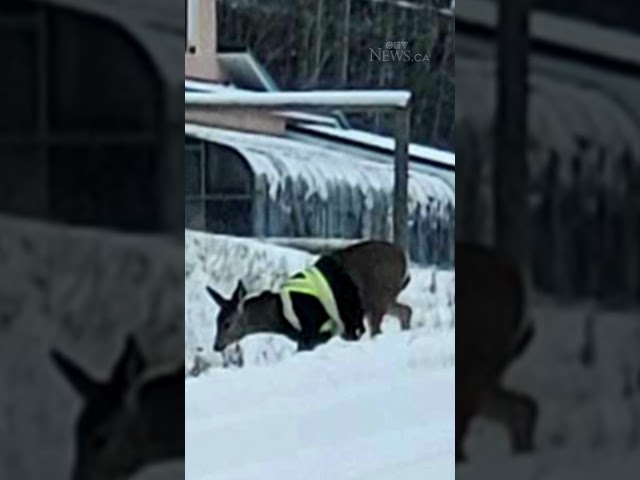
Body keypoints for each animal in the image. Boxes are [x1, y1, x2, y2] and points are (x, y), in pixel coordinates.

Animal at [208, 239, 412, 352]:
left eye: (227, 323)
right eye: (216, 321)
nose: (216, 346)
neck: (279, 315)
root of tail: (403, 258)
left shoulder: (312, 328)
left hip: (377, 296)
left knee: (379, 329)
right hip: (382, 299)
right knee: (406, 311)